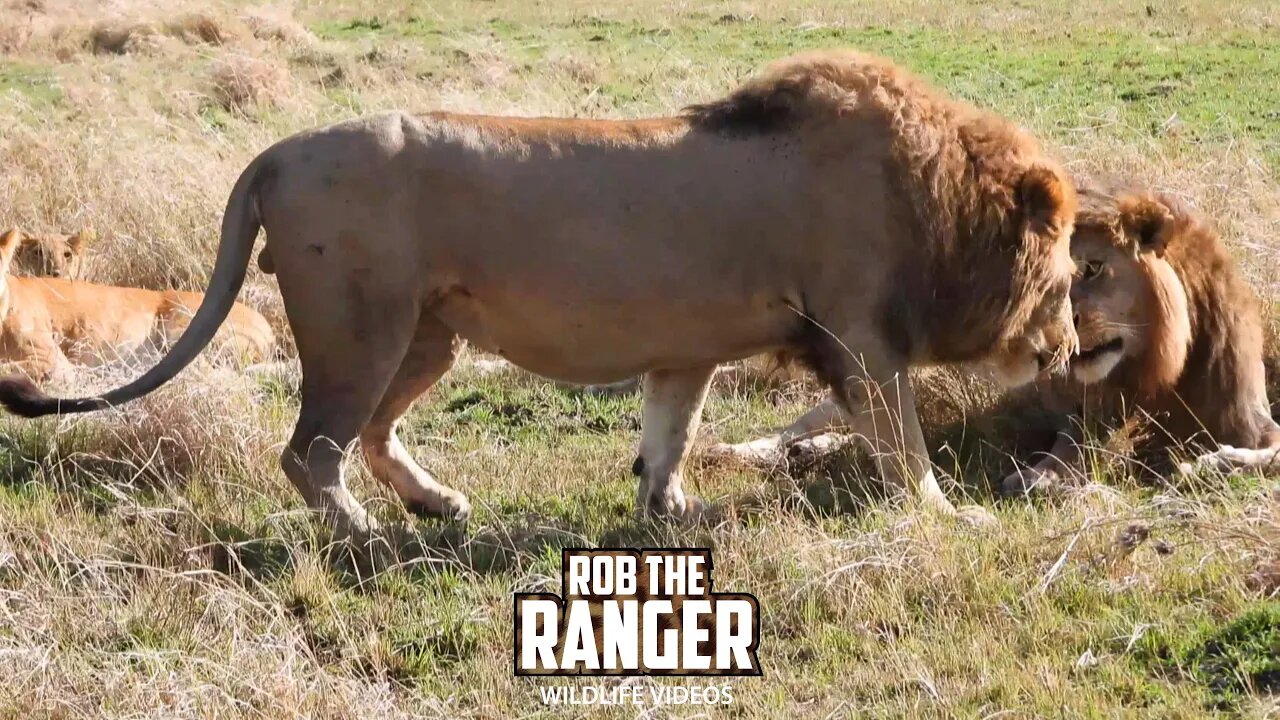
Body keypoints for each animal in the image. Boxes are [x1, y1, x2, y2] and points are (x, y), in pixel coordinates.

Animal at [0, 53, 1080, 535]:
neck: (938, 200)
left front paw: (669, 509)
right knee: (311, 449)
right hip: (360, 328)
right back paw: (361, 534)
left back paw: (436, 503)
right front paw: (956, 520)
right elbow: (904, 440)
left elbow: (670, 433)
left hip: (425, 335)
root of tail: (277, 151)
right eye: (1071, 278)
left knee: (373, 434)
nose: (1069, 348)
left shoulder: (688, 349)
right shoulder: (859, 339)